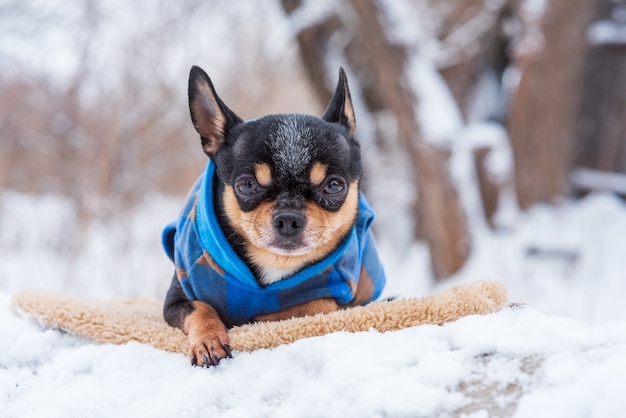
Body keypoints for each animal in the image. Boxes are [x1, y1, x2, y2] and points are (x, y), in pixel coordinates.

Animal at [161, 65, 386, 366]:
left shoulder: (341, 298)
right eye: (246, 185)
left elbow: (314, 304)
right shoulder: (175, 302)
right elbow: (201, 308)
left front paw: (264, 317)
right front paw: (208, 340)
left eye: (334, 186)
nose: (288, 218)